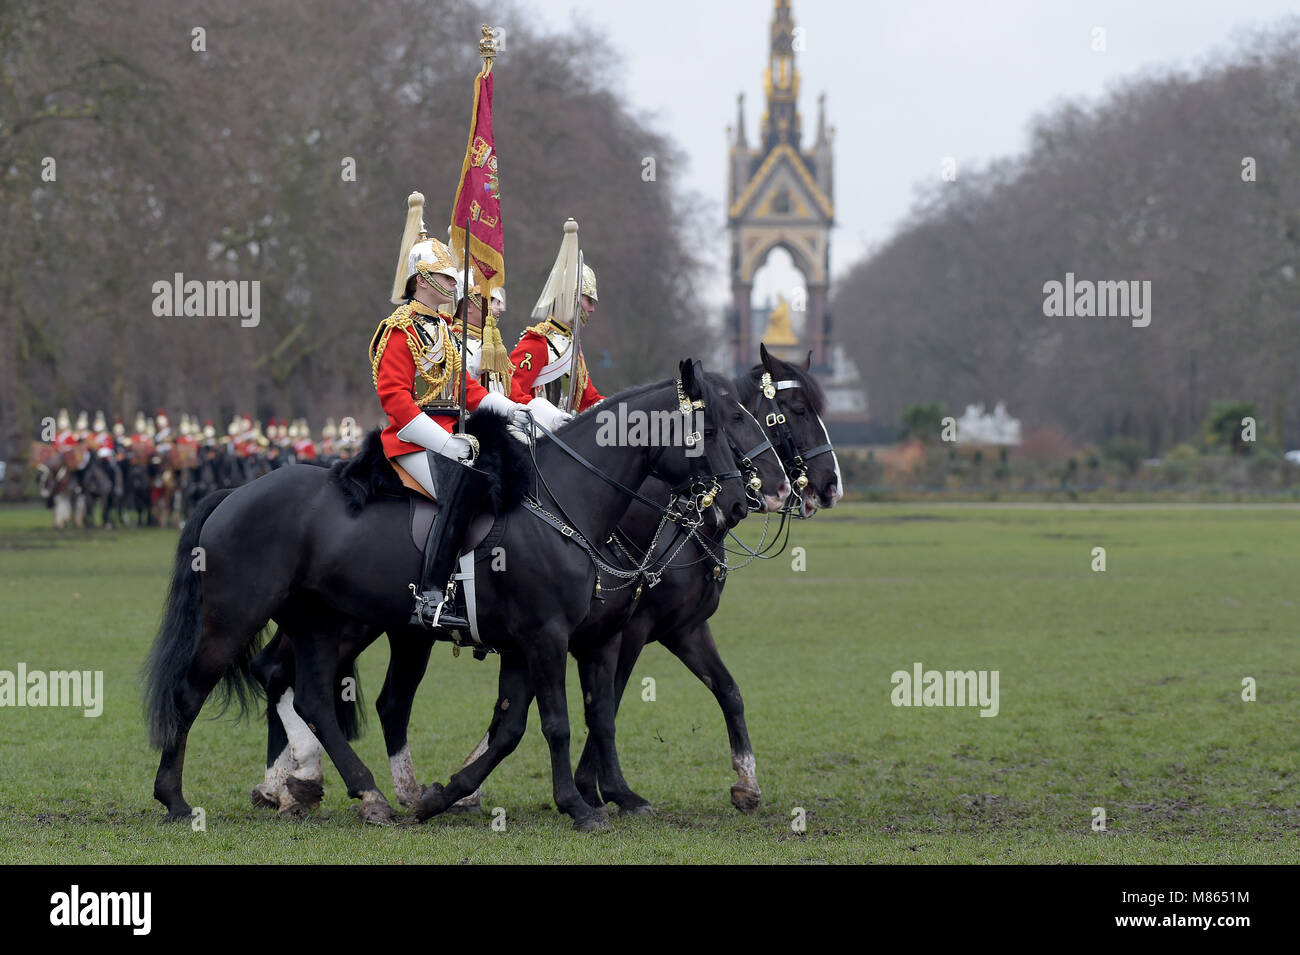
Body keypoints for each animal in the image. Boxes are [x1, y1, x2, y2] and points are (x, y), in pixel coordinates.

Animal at [144, 358, 754, 831]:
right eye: (712, 429)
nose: (735, 504)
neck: (567, 502)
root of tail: (236, 492)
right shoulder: (548, 637)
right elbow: (555, 723)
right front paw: (580, 807)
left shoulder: (553, 644)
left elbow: (527, 727)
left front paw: (442, 797)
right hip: (235, 618)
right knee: (192, 692)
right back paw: (177, 800)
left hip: (323, 623)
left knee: (310, 696)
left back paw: (365, 794)